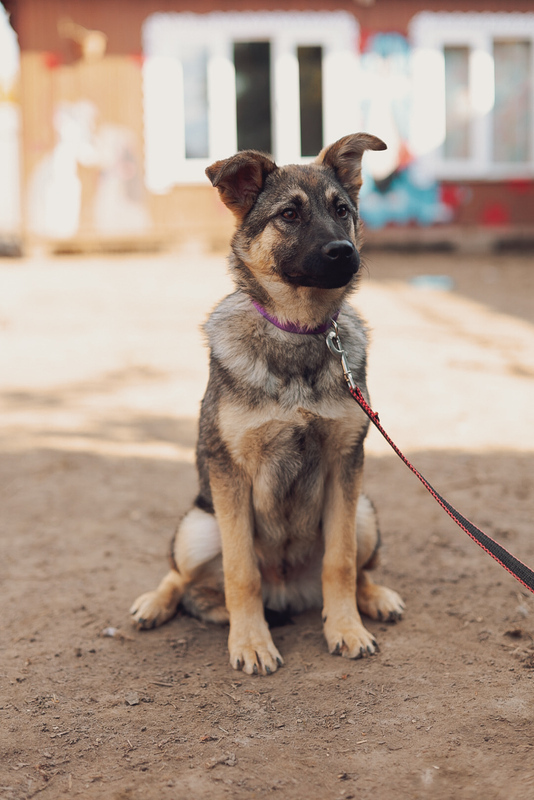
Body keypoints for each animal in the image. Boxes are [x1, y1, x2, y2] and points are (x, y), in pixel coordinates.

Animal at [131, 133, 406, 676]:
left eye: (342, 210)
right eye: (289, 215)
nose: (344, 252)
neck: (298, 332)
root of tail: (289, 593)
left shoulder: (345, 466)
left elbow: (340, 562)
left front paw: (345, 628)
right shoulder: (229, 474)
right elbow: (241, 572)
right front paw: (252, 641)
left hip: (364, 511)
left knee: (356, 566)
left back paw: (374, 597)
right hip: (198, 526)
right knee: (184, 577)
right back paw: (155, 603)